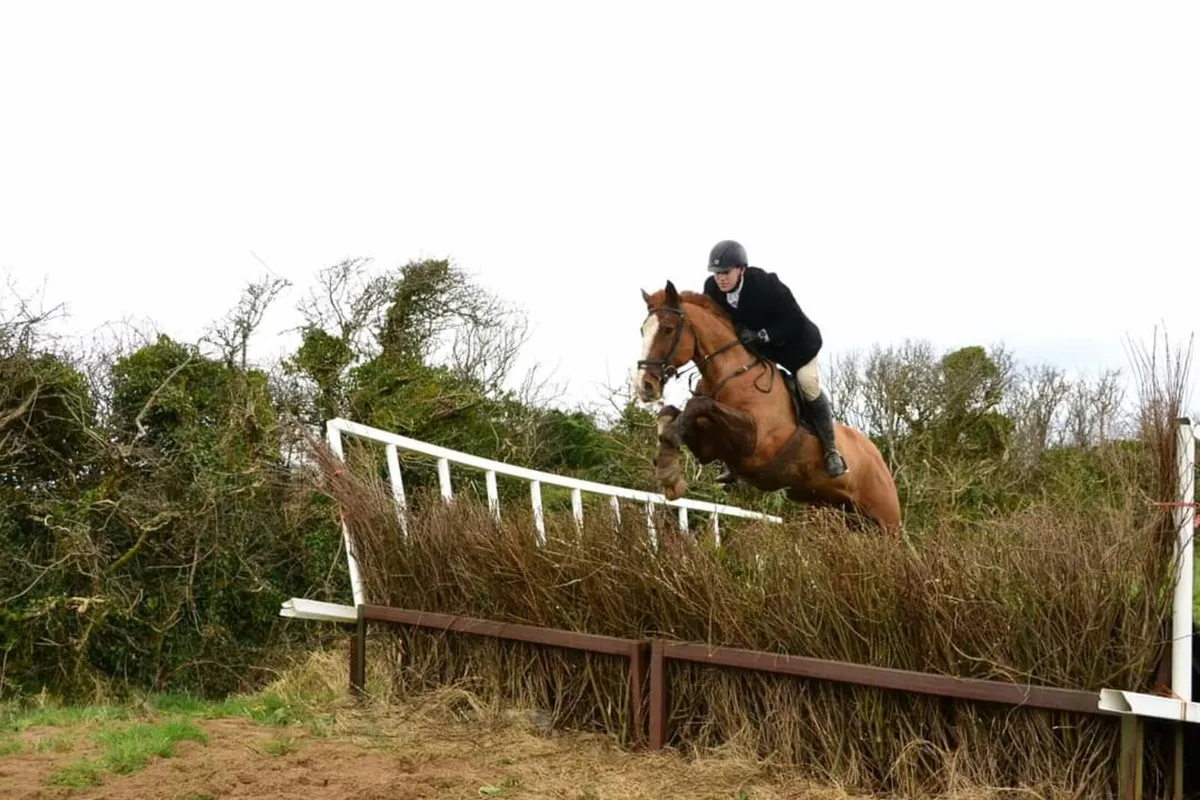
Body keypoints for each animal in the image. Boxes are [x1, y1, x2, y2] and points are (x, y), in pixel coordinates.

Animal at [634, 280, 903, 537]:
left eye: (668, 329)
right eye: (642, 330)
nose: (644, 386)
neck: (731, 375)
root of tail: (878, 457)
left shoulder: (756, 444)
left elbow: (698, 404)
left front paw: (668, 465)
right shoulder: (709, 447)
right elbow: (672, 412)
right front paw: (668, 469)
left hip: (887, 523)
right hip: (838, 513)